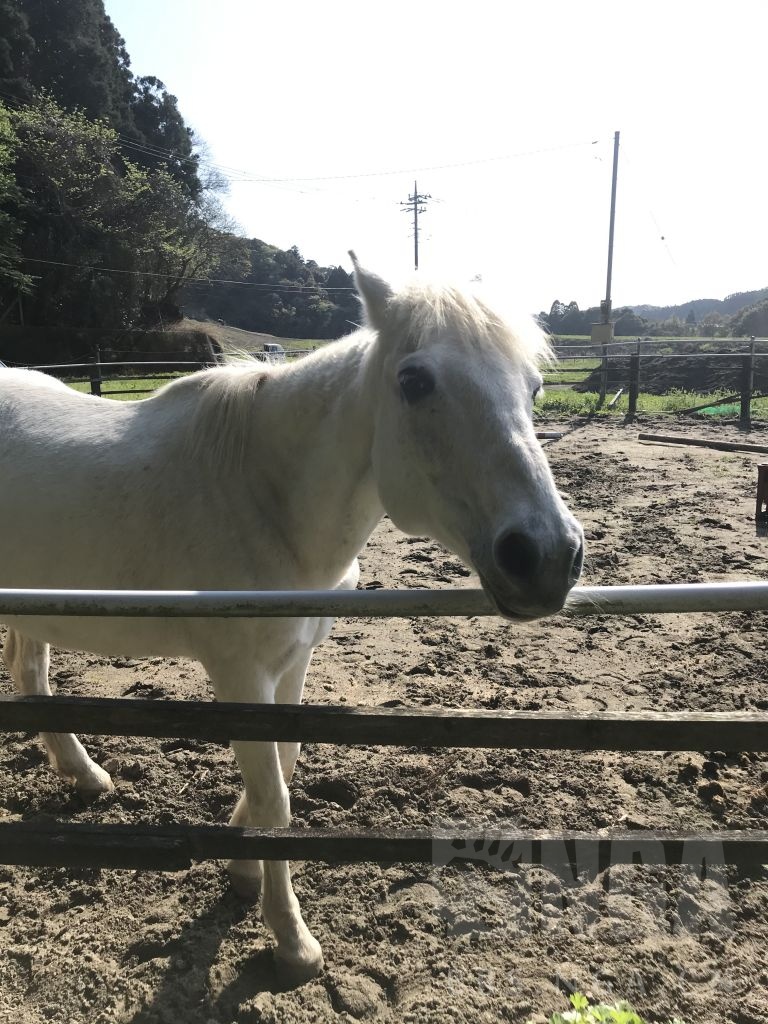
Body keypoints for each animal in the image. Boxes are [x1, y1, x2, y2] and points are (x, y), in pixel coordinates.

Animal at [0, 255, 584, 983]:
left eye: (534, 388)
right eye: (414, 381)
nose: (549, 557)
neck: (263, 496)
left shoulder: (293, 661)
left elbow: (283, 763)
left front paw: (242, 864)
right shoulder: (239, 674)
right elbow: (275, 794)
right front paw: (290, 939)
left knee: (31, 674)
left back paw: (85, 777)